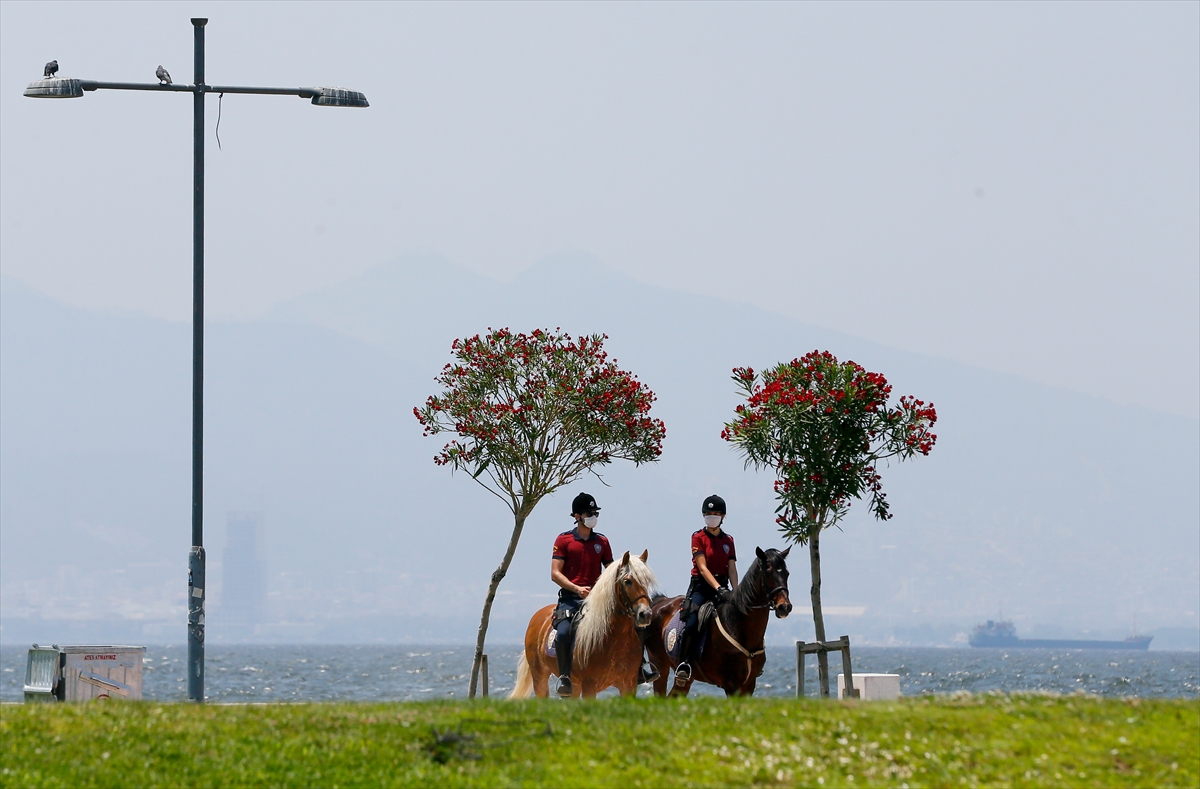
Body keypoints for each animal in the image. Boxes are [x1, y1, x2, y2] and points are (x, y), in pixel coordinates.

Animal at [506, 549, 657, 695]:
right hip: (540, 678)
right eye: (627, 581)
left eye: (647, 581)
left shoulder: (628, 686)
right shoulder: (589, 686)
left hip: (574, 686)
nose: (645, 614)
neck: (614, 638)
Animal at [643, 546, 792, 695]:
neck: (737, 625)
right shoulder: (731, 684)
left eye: (787, 573)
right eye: (768, 572)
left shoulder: (749, 684)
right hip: (660, 666)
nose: (784, 607)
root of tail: (660, 602)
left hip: (685, 680)